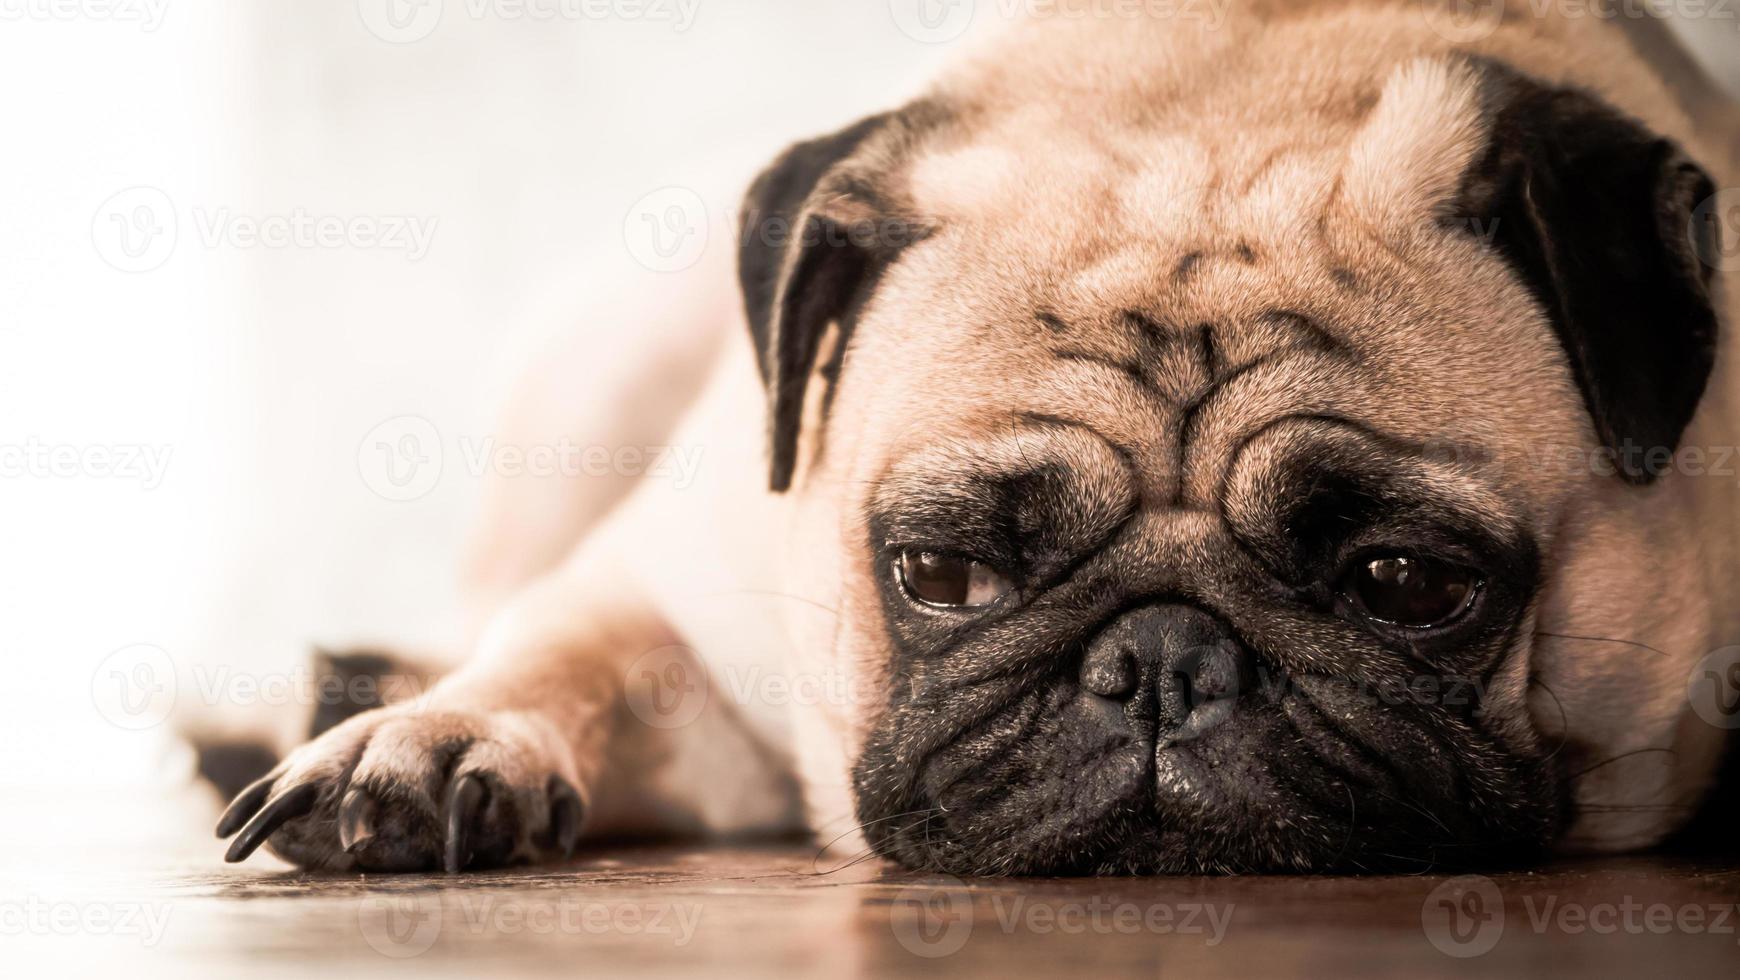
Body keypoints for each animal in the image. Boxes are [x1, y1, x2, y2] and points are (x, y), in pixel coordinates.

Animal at [214, 0, 1740, 873]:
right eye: (940, 573)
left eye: (1408, 584)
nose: (1161, 660)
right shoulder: (676, 598)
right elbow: (562, 648)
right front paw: (433, 739)